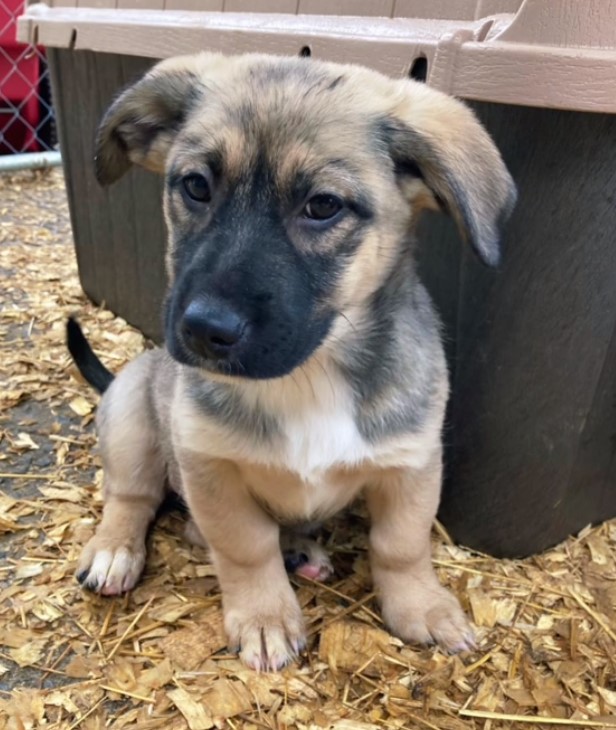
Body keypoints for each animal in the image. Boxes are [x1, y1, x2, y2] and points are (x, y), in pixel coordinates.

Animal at [68, 51, 516, 668]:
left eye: (322, 205)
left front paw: (422, 606)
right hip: (131, 417)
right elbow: (244, 548)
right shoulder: (210, 468)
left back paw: (301, 550)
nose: (203, 329)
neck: (307, 378)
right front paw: (264, 618)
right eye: (196, 186)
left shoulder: (412, 464)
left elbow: (400, 545)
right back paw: (115, 550)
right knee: (131, 497)